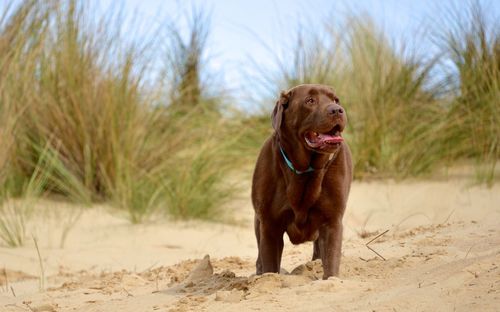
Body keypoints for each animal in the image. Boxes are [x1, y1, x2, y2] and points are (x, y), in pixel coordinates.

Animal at [250, 83, 352, 278]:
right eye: (310, 100)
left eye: (336, 100)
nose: (338, 110)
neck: (304, 170)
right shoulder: (270, 226)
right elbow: (270, 267)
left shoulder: (332, 222)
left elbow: (331, 264)